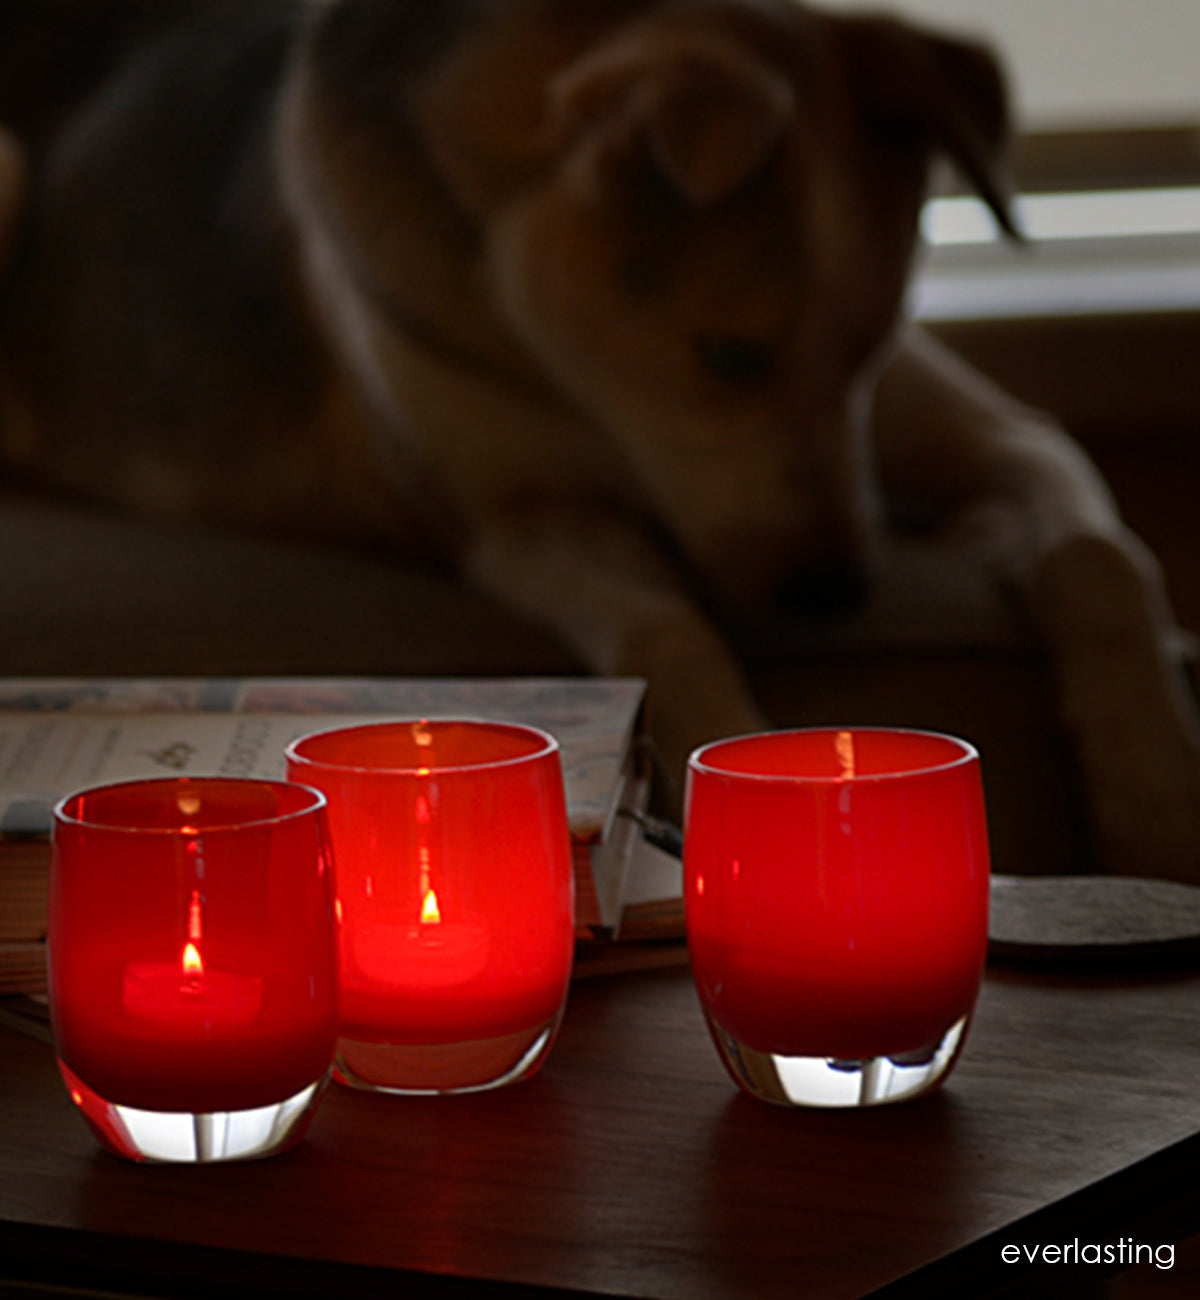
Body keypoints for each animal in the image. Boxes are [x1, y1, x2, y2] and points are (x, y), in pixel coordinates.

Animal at [2, 0, 1200, 878]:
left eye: (869, 344)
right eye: (727, 356)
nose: (836, 593)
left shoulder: (994, 436)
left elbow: (1099, 554)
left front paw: (1152, 796)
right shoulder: (523, 517)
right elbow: (661, 626)